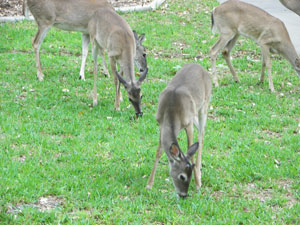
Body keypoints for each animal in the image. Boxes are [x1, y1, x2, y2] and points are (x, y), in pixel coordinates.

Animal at [145, 63, 211, 199]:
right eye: (182, 176)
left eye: (189, 175)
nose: (183, 195)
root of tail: (201, 67)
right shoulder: (160, 123)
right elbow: (159, 151)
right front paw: (149, 185)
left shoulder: (188, 123)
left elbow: (190, 149)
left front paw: (197, 184)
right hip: (195, 112)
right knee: (200, 132)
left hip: (205, 104)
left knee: (201, 134)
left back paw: (199, 175)